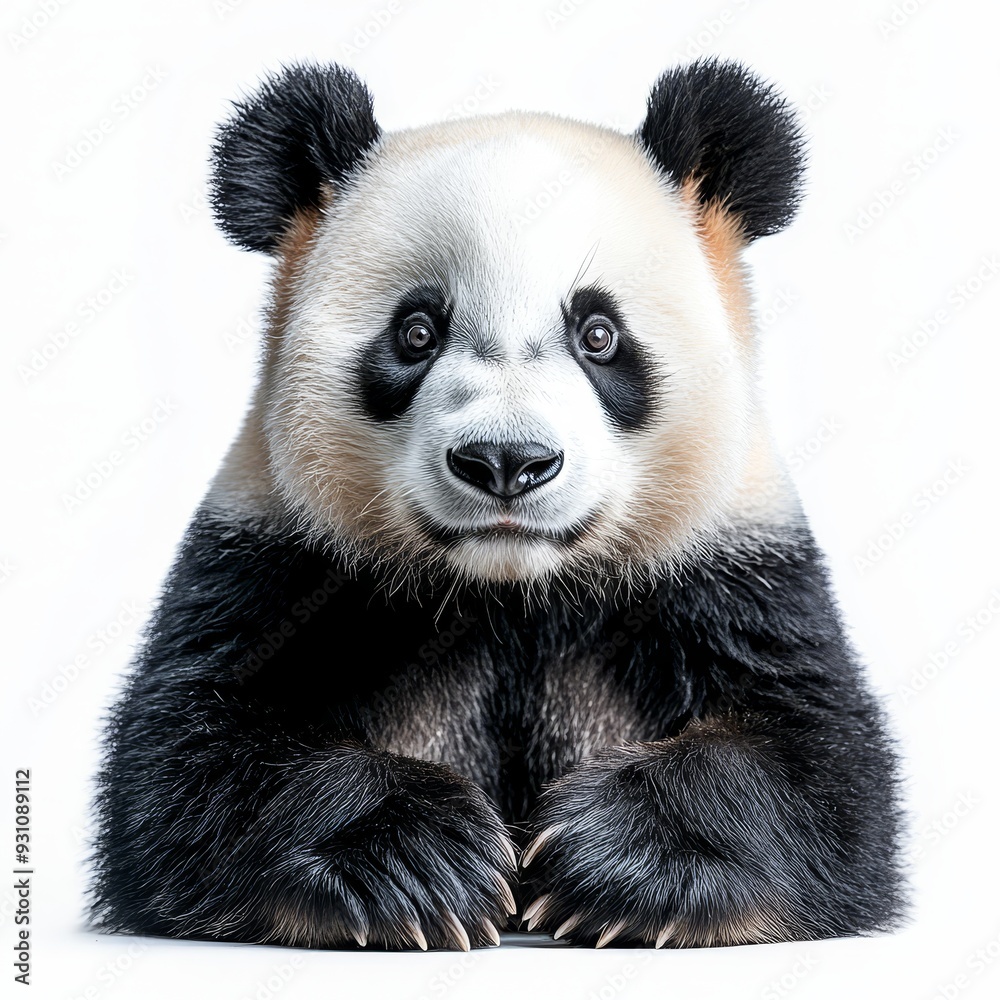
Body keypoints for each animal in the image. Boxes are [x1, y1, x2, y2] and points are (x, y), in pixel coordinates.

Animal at [91, 58, 904, 951]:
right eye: (416, 331)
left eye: (598, 335)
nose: (507, 462)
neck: (511, 589)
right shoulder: (278, 553)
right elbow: (183, 758)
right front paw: (417, 858)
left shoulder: (731, 569)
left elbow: (821, 768)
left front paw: (611, 863)